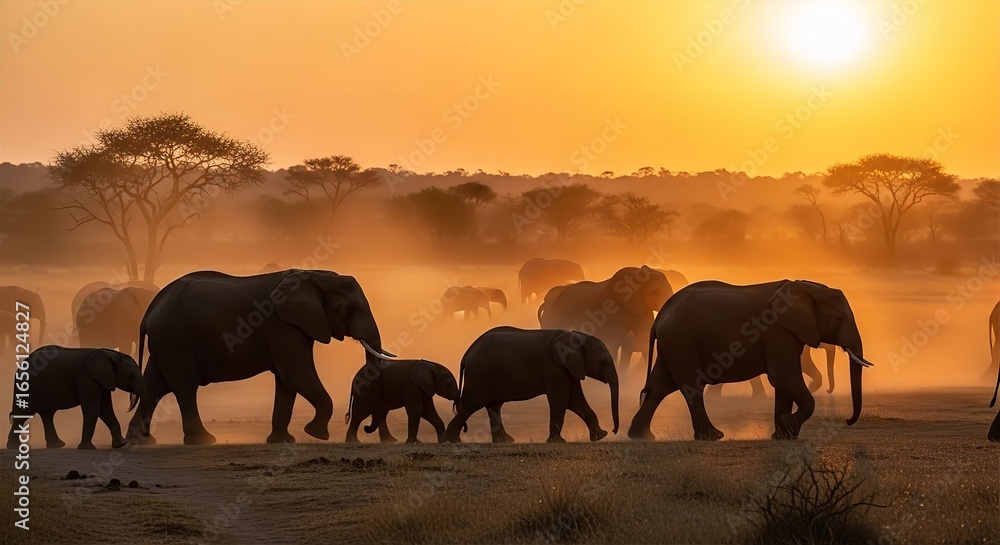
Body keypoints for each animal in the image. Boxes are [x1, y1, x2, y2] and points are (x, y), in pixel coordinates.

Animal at [6, 346, 149, 450]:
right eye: (131, 375)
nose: (145, 435)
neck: (108, 353)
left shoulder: (103, 381)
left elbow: (105, 411)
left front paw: (121, 445)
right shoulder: (87, 380)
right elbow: (93, 409)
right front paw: (88, 448)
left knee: (47, 415)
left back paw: (57, 446)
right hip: (29, 388)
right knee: (24, 414)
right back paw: (14, 448)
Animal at [125, 269, 394, 446]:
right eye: (350, 308)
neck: (317, 276)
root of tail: (150, 308)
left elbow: (287, 381)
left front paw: (283, 441)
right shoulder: (282, 325)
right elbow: (296, 374)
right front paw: (317, 434)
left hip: (166, 340)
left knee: (154, 384)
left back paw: (140, 441)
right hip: (175, 338)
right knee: (183, 387)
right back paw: (203, 441)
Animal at [444, 327, 619, 443]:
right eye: (602, 362)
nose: (613, 430)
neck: (573, 335)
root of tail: (467, 353)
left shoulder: (569, 368)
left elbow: (575, 401)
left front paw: (600, 436)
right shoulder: (553, 367)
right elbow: (561, 400)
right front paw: (557, 442)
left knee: (493, 405)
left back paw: (505, 441)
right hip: (479, 375)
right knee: (471, 405)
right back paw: (451, 440)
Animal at [628, 280, 874, 442]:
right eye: (839, 319)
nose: (847, 421)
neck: (807, 287)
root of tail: (661, 315)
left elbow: (783, 385)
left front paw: (782, 435)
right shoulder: (777, 331)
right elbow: (783, 377)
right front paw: (788, 426)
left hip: (673, 343)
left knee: (661, 386)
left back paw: (641, 436)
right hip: (682, 340)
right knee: (691, 386)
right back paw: (712, 436)